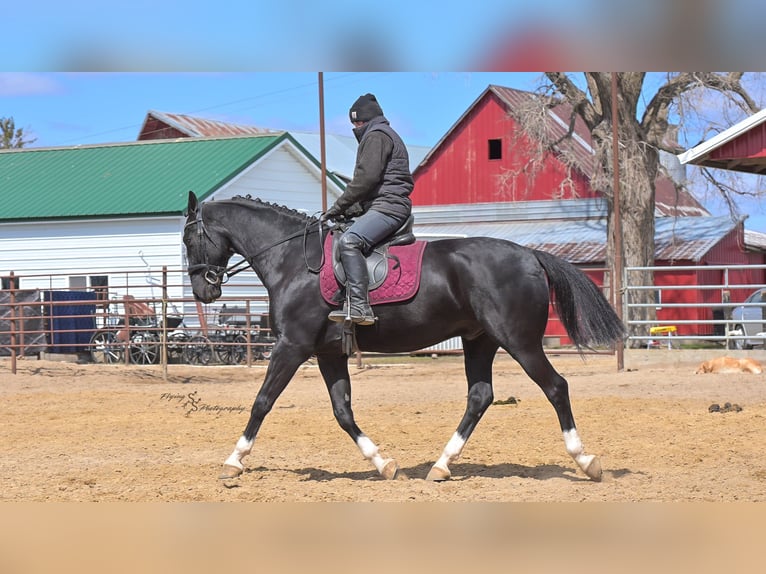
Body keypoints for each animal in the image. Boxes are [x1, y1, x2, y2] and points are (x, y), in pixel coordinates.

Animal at [183, 191, 625, 482]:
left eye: (188, 238)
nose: (204, 291)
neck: (293, 261)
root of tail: (529, 254)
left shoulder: (292, 346)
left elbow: (262, 401)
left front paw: (234, 461)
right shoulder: (328, 352)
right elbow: (343, 412)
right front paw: (382, 463)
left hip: (519, 341)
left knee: (556, 387)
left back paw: (585, 461)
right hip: (479, 341)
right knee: (480, 397)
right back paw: (441, 466)